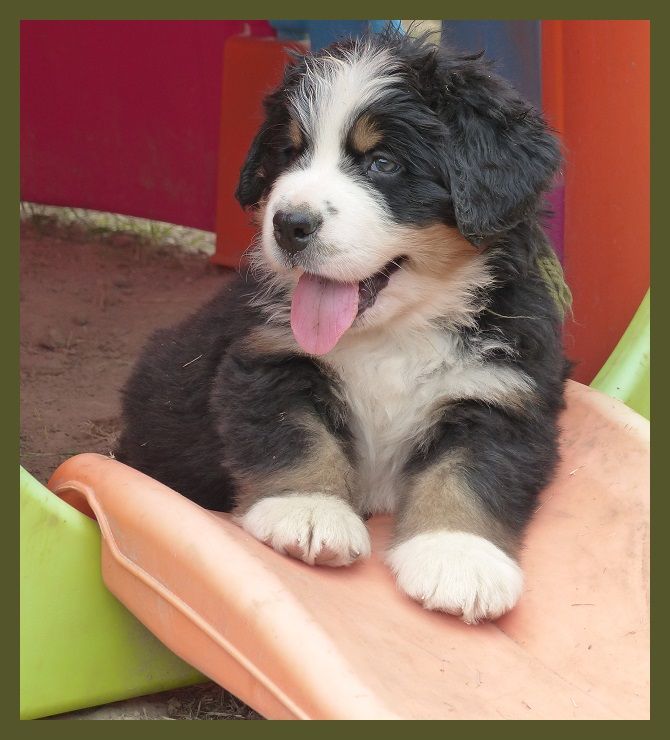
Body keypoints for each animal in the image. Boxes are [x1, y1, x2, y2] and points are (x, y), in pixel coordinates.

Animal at [116, 30, 570, 623]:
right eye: (290, 153)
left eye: (383, 163)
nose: (289, 224)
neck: (395, 332)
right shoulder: (269, 358)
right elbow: (299, 438)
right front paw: (308, 514)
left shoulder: (502, 394)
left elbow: (470, 474)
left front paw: (457, 559)